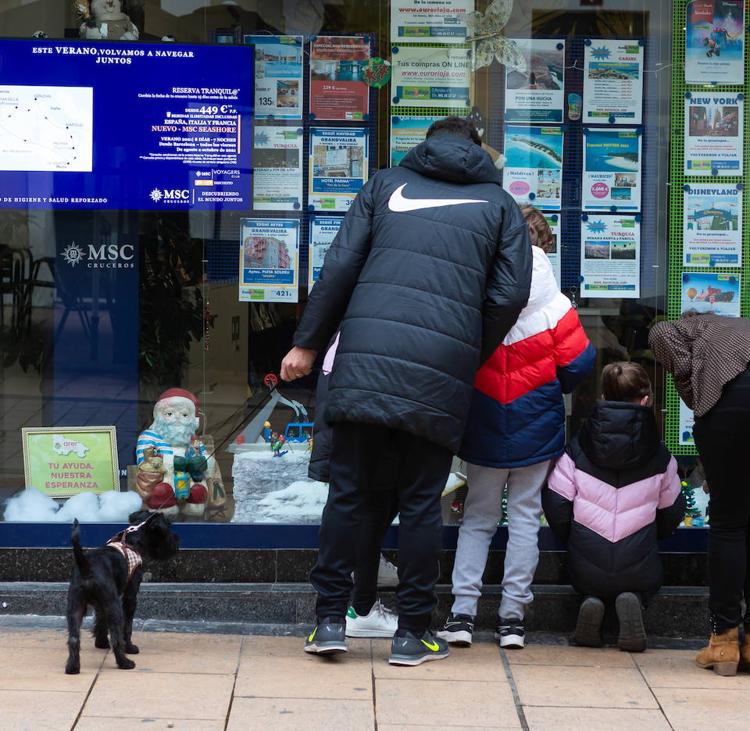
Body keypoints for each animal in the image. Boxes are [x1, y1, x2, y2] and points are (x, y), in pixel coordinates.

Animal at [65, 508, 180, 676]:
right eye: (168, 527)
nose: (177, 541)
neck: (133, 539)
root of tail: (86, 566)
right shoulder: (129, 596)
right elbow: (128, 626)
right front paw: (130, 647)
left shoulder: (101, 604)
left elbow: (100, 620)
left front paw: (101, 643)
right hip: (114, 607)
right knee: (116, 637)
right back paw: (125, 662)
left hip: (75, 606)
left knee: (73, 638)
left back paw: (72, 667)